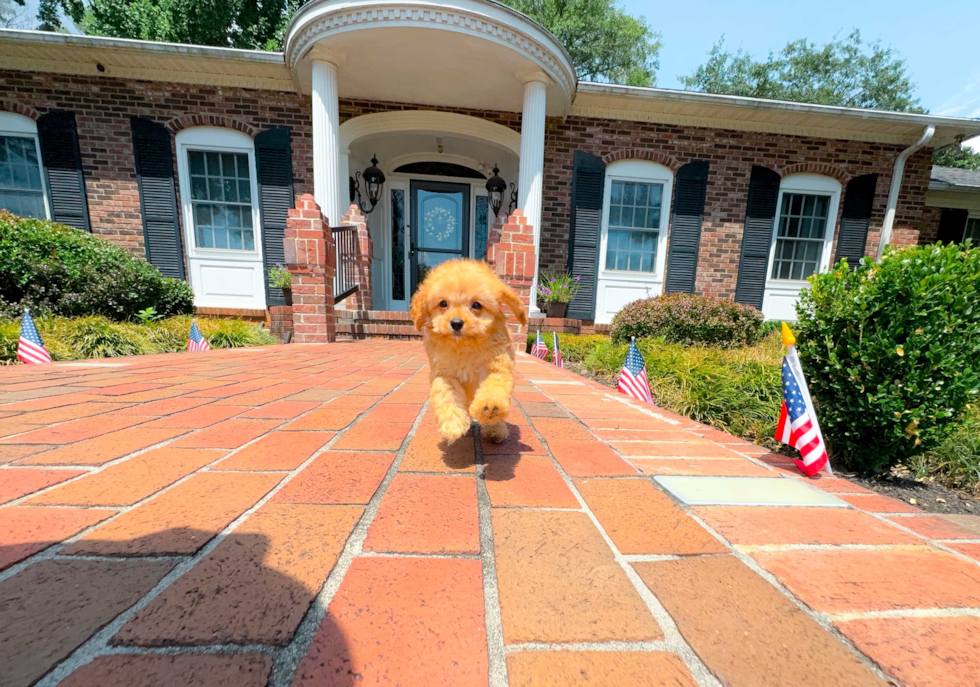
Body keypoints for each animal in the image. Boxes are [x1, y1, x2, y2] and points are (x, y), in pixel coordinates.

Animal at [408, 260, 524, 444]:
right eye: (443, 303)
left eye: (476, 305)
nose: (456, 323)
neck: (465, 345)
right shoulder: (444, 373)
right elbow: (447, 395)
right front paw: (452, 425)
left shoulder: (498, 367)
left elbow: (494, 386)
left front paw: (489, 407)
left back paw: (495, 428)